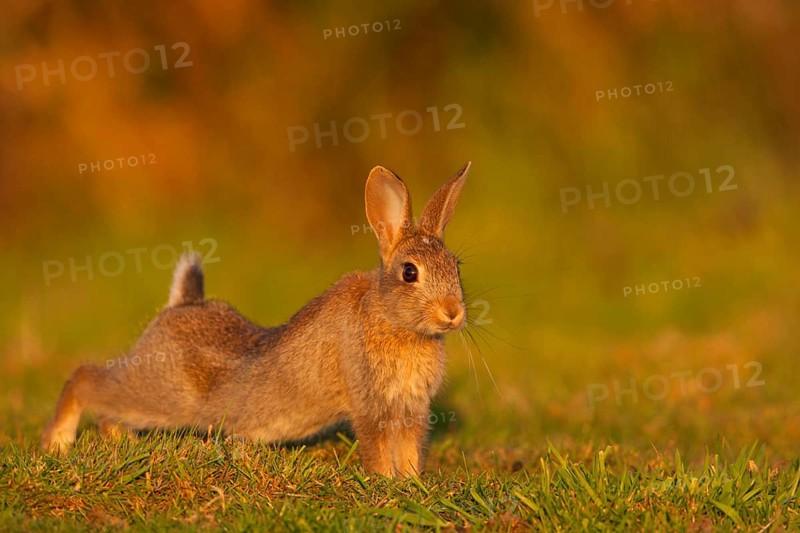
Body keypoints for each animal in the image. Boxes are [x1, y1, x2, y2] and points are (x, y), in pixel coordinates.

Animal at [41, 162, 471, 478]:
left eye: (456, 267)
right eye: (409, 273)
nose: (453, 312)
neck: (394, 322)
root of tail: (182, 302)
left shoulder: (412, 410)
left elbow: (409, 451)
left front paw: (411, 485)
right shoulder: (370, 404)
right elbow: (379, 450)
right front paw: (386, 484)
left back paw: (122, 443)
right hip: (158, 393)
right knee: (86, 380)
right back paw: (58, 442)